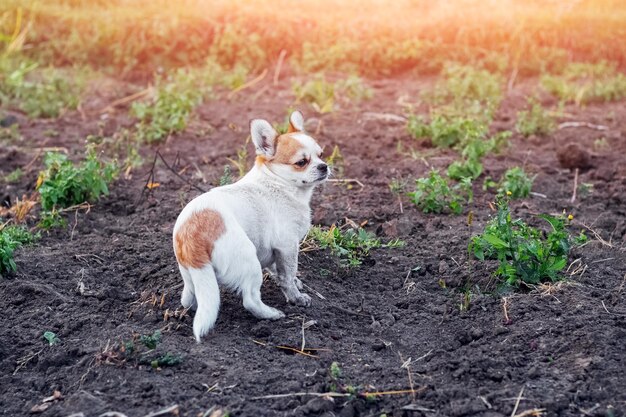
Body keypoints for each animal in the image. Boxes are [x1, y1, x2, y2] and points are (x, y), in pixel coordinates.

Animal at [171, 110, 326, 342]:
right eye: (301, 162)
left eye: (321, 154)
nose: (324, 166)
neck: (277, 182)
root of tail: (191, 234)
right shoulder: (287, 246)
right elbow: (287, 275)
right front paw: (296, 297)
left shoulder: (277, 251)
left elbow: (280, 271)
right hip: (249, 261)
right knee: (250, 299)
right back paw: (271, 314)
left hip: (191, 275)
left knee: (189, 298)